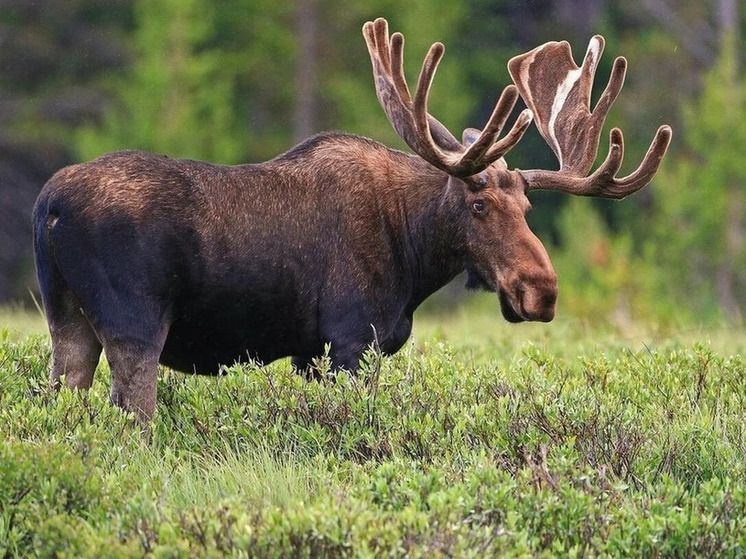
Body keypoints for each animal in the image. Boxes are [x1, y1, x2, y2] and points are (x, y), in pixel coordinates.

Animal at [32, 18, 672, 424]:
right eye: (478, 205)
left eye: (528, 208)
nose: (541, 291)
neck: (412, 256)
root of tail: (48, 207)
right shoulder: (349, 339)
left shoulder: (309, 353)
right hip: (134, 324)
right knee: (131, 422)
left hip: (67, 321)